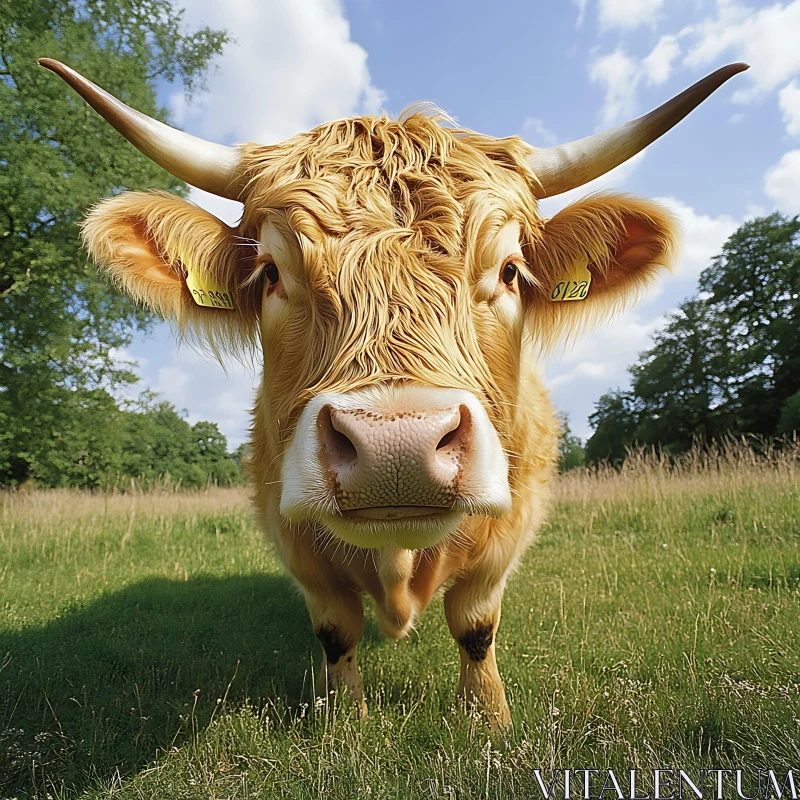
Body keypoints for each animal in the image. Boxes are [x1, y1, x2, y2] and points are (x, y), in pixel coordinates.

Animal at [42, 59, 744, 728]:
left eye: (510, 270)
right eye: (270, 272)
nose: (396, 447)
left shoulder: (509, 529)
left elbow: (476, 626)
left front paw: (488, 722)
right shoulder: (294, 540)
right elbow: (335, 632)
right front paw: (342, 722)